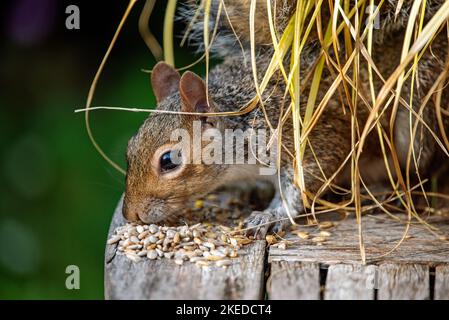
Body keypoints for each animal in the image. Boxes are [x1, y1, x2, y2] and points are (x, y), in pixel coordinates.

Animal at [121, 0, 446, 238]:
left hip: (413, 126)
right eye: (130, 149)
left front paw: (270, 216)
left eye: (169, 161)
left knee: (423, 174)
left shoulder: (307, 137)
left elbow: (304, 182)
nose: (130, 215)